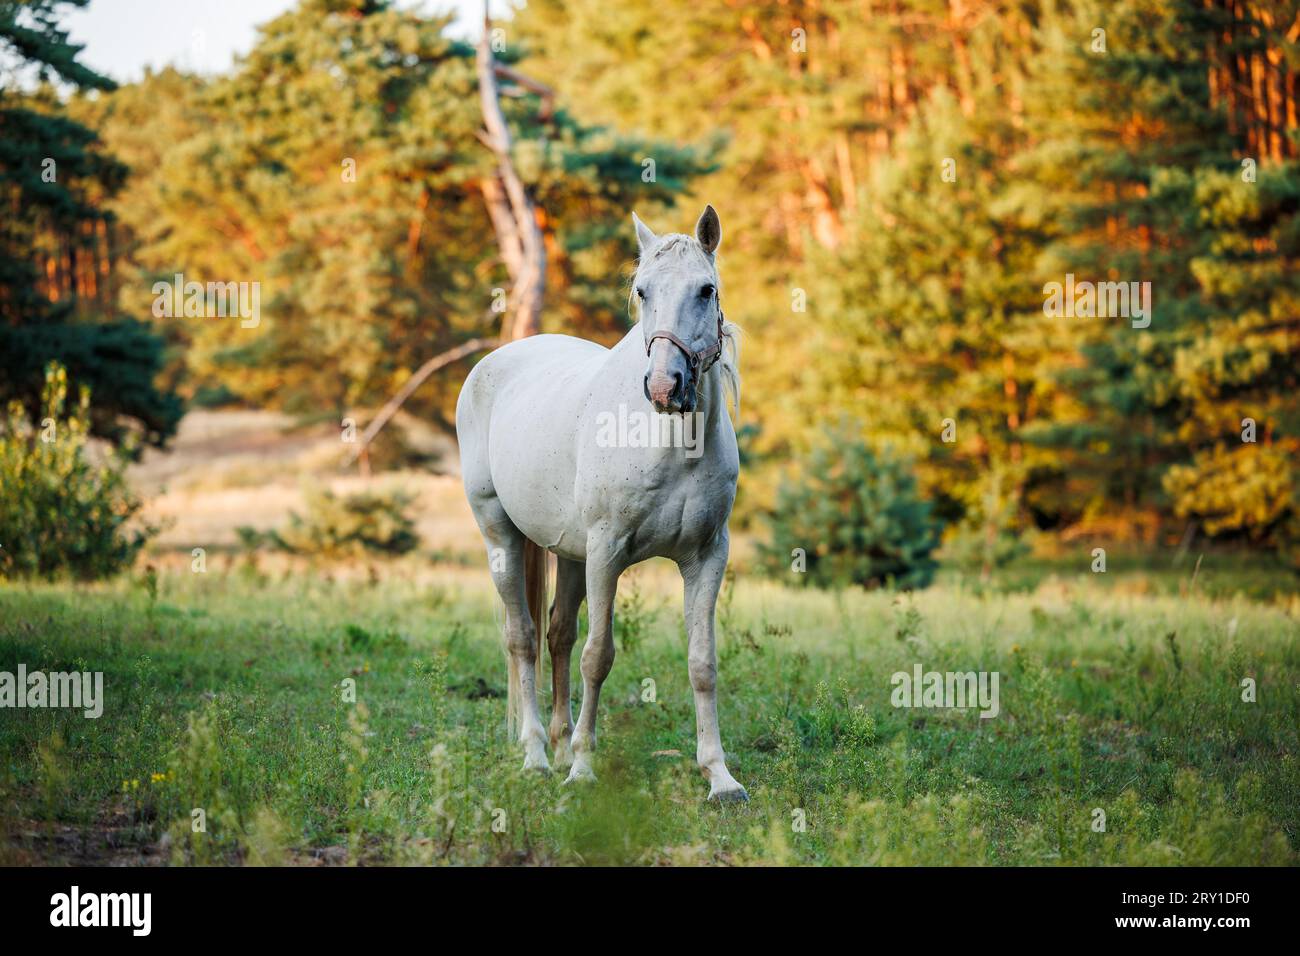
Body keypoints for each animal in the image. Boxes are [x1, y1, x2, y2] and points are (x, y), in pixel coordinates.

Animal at [455, 204, 748, 801]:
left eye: (706, 289)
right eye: (642, 290)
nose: (664, 387)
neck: (669, 443)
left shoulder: (707, 556)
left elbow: (701, 663)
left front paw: (719, 775)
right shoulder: (607, 551)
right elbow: (599, 657)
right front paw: (585, 768)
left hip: (569, 553)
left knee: (557, 635)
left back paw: (561, 742)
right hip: (502, 536)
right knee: (523, 639)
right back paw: (538, 755)